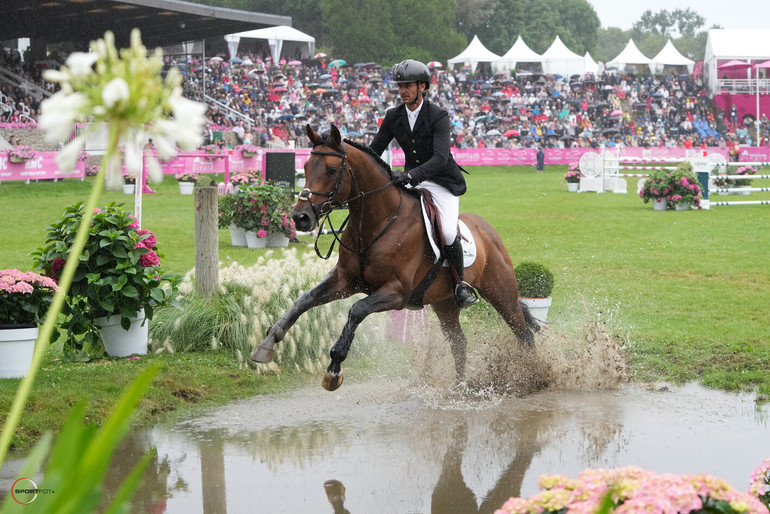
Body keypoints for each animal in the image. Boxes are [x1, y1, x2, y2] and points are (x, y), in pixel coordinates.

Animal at [249, 124, 536, 388]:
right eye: (306, 167)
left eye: (331, 169)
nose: (301, 217)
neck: (376, 223)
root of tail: (489, 231)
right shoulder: (345, 281)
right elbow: (303, 300)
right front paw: (267, 343)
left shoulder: (396, 292)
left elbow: (356, 310)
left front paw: (334, 367)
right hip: (444, 303)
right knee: (459, 342)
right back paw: (460, 387)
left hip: (500, 291)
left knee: (523, 333)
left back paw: (533, 377)